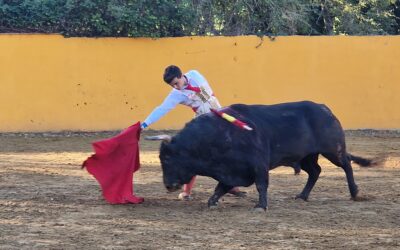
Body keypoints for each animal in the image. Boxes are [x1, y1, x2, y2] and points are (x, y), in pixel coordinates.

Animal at [159, 100, 372, 210]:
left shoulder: (258, 165)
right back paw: (302, 196)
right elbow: (221, 187)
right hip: (306, 156)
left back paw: (355, 192)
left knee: (346, 164)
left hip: (333, 149)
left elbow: (261, 185)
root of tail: (325, 109)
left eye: (168, 158)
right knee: (315, 171)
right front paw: (212, 202)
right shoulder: (230, 170)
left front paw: (261, 206)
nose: (168, 185)